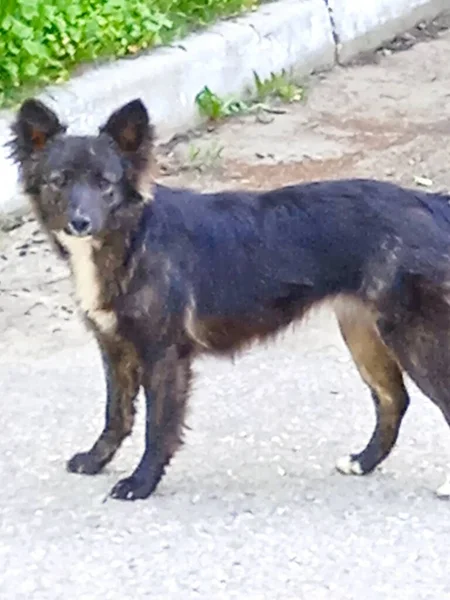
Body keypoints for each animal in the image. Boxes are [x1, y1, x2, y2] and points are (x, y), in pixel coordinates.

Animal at [8, 97, 450, 502]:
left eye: (105, 183)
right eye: (59, 180)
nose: (80, 222)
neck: (134, 239)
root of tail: (430, 203)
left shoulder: (163, 355)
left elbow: (157, 426)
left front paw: (142, 482)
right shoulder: (115, 347)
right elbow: (116, 414)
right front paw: (96, 459)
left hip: (413, 336)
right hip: (361, 330)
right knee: (393, 400)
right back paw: (363, 461)